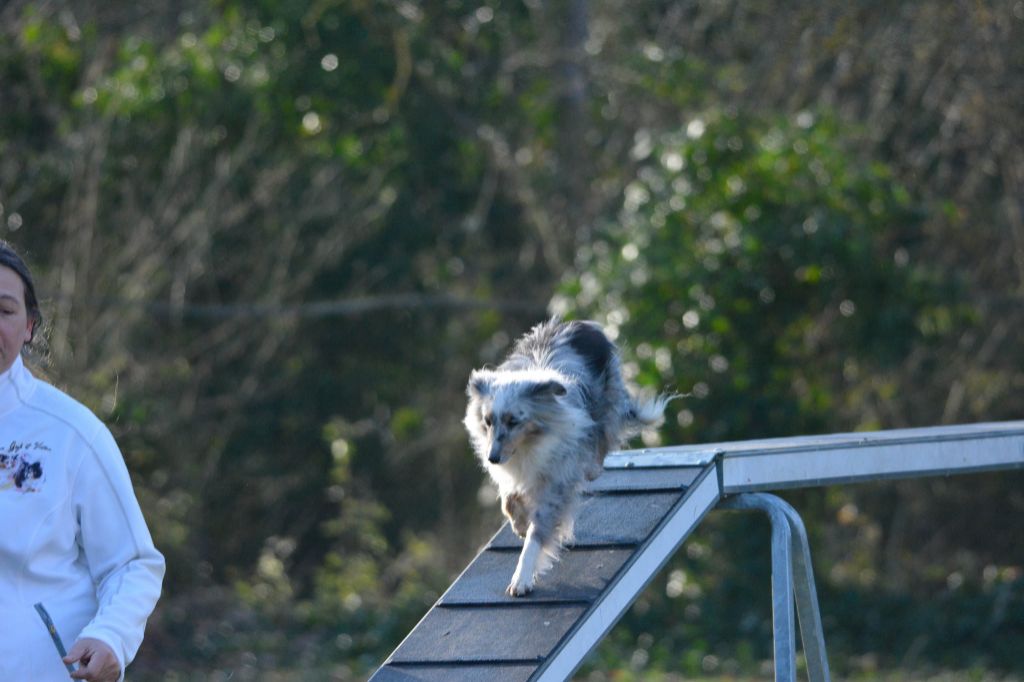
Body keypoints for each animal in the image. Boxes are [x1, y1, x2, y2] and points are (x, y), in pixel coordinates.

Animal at [464, 315, 671, 593]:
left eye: (513, 421)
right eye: (488, 421)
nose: (492, 458)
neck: (530, 445)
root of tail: (581, 322)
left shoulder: (555, 482)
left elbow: (536, 534)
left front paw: (521, 578)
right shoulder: (515, 475)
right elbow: (509, 501)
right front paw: (519, 524)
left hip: (606, 401)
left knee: (603, 437)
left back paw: (592, 467)